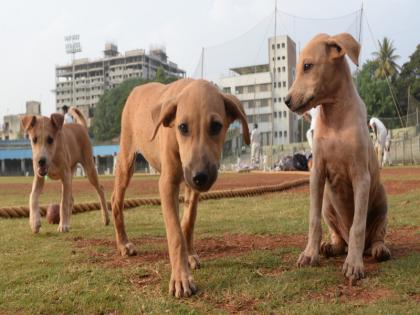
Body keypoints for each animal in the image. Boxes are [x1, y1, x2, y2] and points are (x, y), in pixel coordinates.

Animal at [110, 78, 249, 298]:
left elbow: (188, 221)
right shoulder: (167, 184)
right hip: (126, 159)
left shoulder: (191, 184)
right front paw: (181, 279)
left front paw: (190, 255)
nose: (200, 176)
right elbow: (175, 233)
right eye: (182, 127)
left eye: (216, 126)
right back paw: (123, 244)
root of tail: (137, 88)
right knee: (116, 200)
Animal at [286, 33, 390, 286]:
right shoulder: (317, 172)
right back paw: (330, 247)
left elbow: (357, 226)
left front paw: (353, 265)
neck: (335, 117)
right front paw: (309, 254)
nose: (286, 100)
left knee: (374, 234)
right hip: (328, 205)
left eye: (307, 66)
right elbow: (313, 221)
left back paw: (378, 249)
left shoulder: (361, 176)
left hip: (382, 201)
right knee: (340, 238)